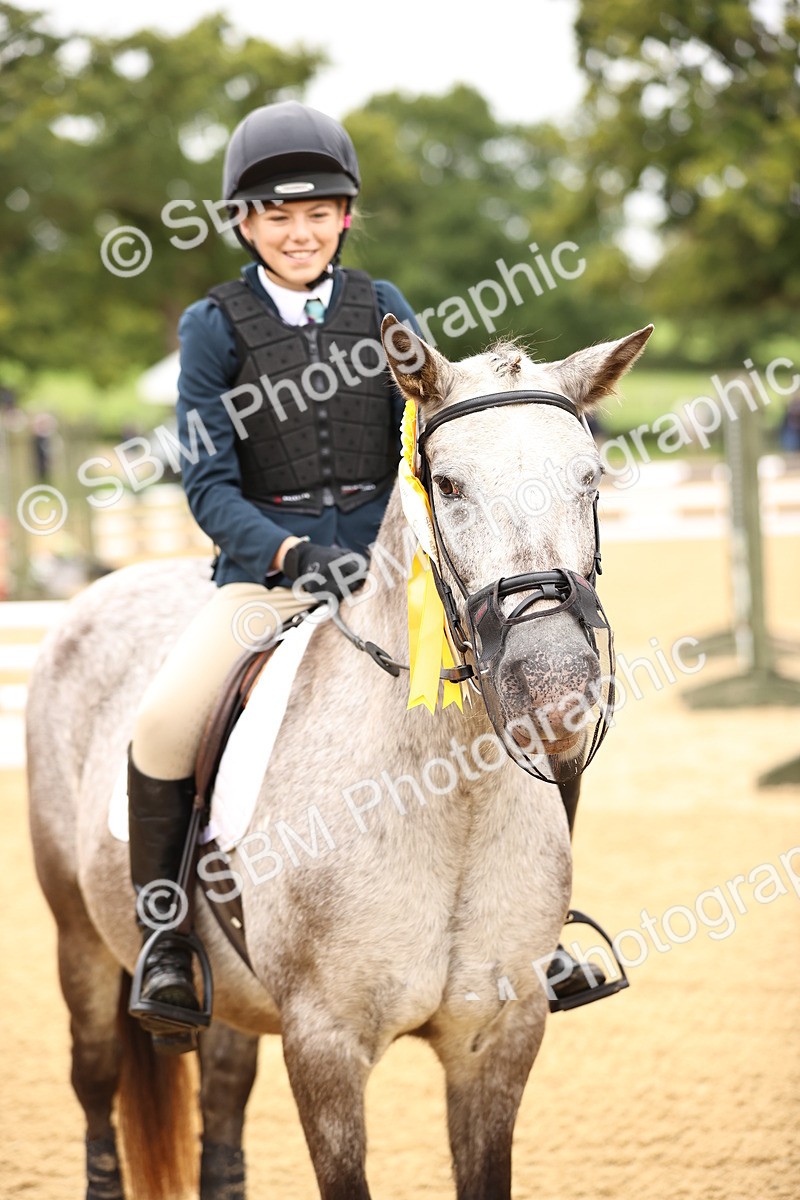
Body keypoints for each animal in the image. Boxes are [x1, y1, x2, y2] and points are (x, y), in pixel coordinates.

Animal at [26, 316, 652, 1200]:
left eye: (590, 480)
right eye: (448, 485)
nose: (555, 690)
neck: (446, 802)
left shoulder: (498, 1039)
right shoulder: (323, 1044)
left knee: (222, 1096)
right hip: (79, 941)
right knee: (95, 1082)